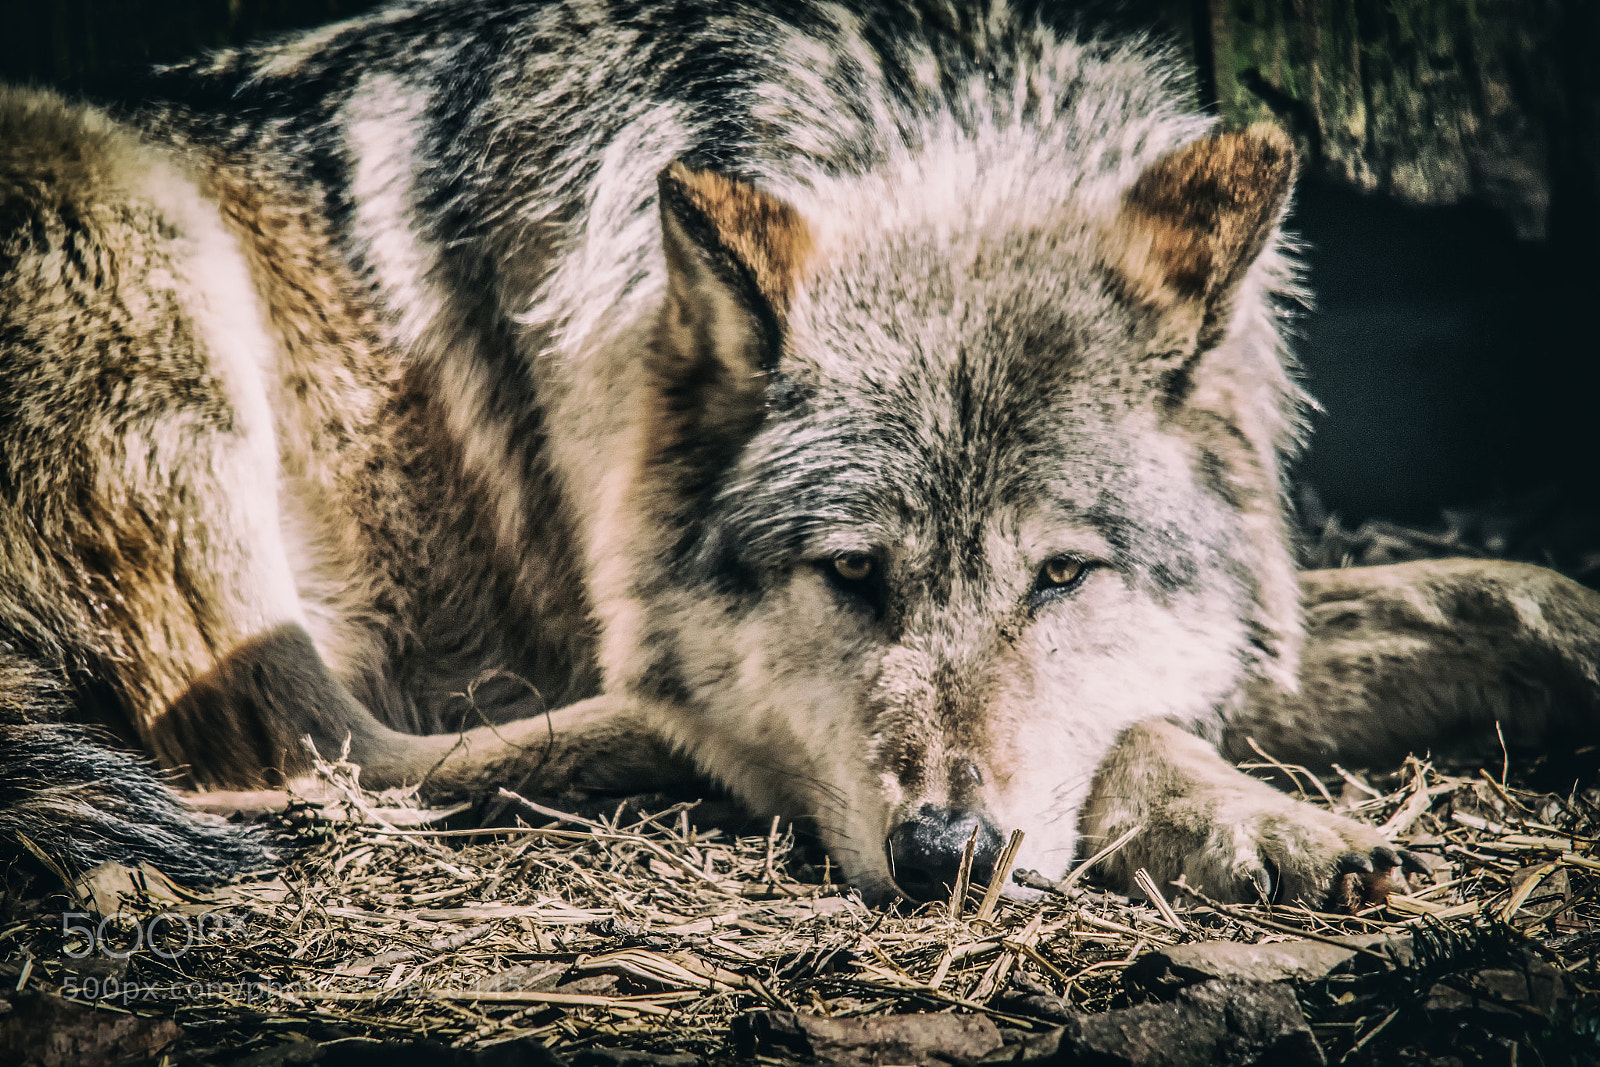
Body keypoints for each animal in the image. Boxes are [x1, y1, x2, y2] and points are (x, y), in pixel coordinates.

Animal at [2, 0, 1596, 909]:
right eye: (851, 573)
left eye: (1062, 575)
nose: (945, 855)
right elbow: (1141, 728)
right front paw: (1262, 820)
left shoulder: (1242, 615)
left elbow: (1481, 590)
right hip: (127, 219)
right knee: (318, 755)